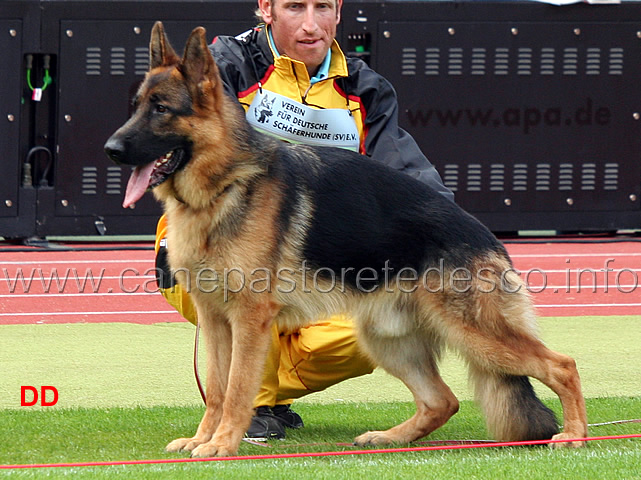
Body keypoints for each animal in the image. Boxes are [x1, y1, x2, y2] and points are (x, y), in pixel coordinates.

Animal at [104, 23, 584, 458]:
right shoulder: (216, 321)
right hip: (386, 339)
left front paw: (222, 444)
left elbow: (238, 388)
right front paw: (203, 439)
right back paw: (390, 439)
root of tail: (487, 236)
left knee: (562, 365)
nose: (110, 149)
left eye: (161, 109)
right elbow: (218, 389)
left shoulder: (249, 319)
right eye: (136, 107)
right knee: (442, 401)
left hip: (475, 333)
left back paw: (575, 436)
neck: (225, 185)